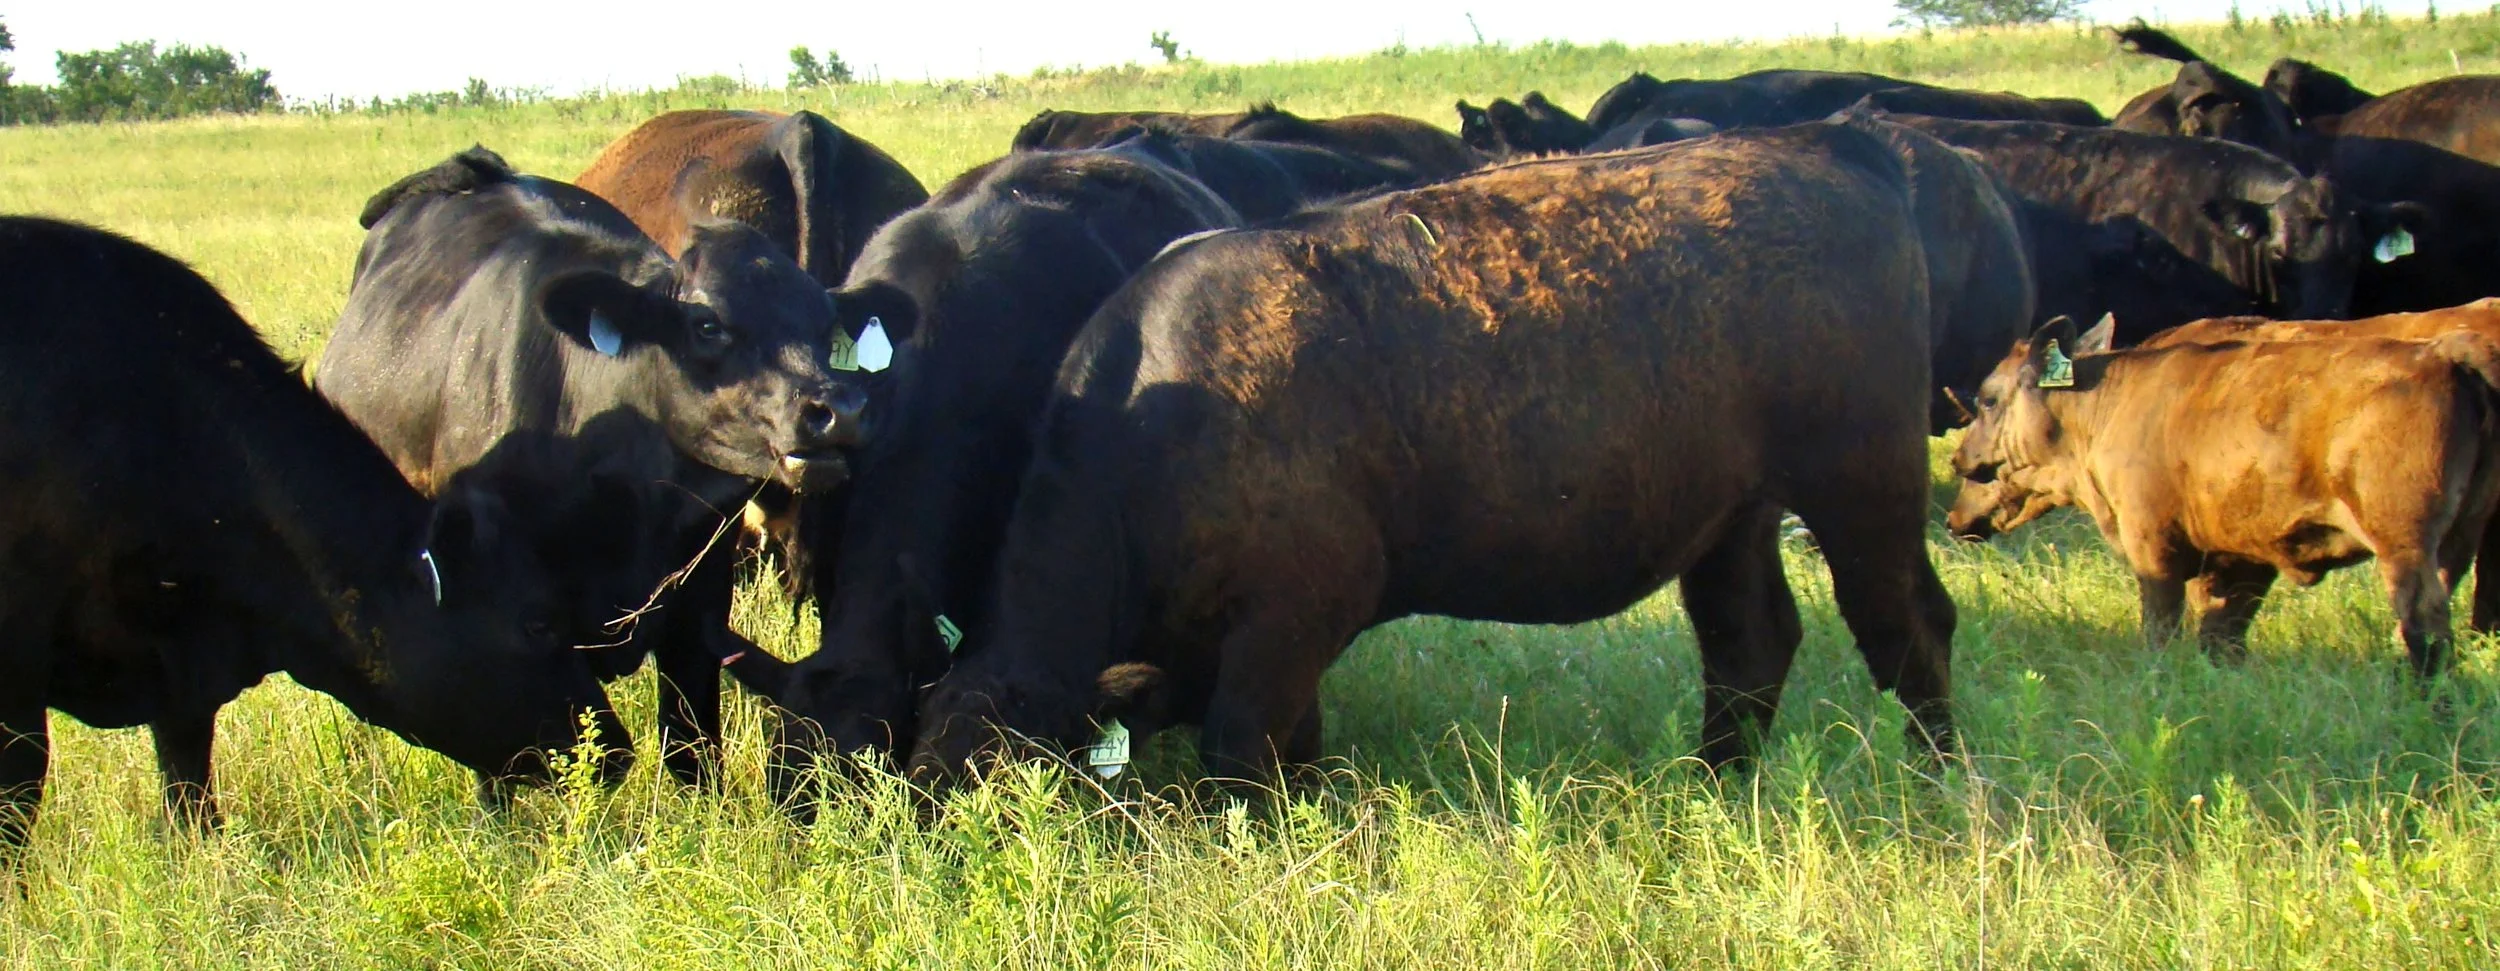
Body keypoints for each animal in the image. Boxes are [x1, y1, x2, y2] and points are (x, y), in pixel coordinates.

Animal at [0, 216, 625, 858]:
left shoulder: (181, 672)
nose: (613, 749)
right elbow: (21, 798)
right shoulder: (18, 680)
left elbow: (189, 791)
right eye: (538, 622)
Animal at [902, 119, 2019, 790]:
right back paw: (1712, 785)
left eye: (986, 779)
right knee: (1750, 647)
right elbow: (1292, 741)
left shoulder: (1290, 618)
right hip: (1733, 518)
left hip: (1861, 487)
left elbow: (1244, 749)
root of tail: (1832, 145)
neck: (1153, 425)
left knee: (1909, 627)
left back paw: (1936, 783)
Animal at [1947, 315, 2500, 677]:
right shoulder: (2237, 562)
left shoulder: (2156, 552)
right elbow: (2221, 635)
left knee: (2423, 622)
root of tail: (2445, 355)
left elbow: (2162, 629)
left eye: (1989, 398)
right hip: (2456, 541)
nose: (1960, 462)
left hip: (2404, 550)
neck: (2108, 400)